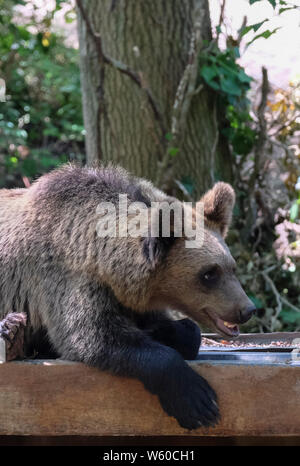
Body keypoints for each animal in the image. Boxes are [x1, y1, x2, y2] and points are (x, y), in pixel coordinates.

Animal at [0, 166, 254, 432]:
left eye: (232, 267)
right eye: (208, 274)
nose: (247, 309)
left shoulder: (131, 299)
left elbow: (181, 331)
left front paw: (168, 332)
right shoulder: (66, 277)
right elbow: (93, 336)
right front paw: (197, 401)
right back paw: (12, 333)